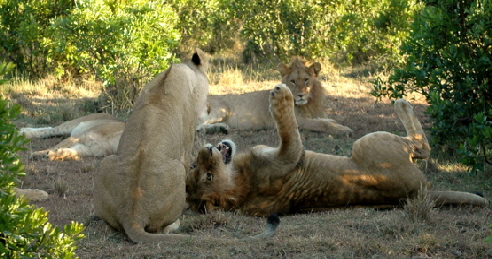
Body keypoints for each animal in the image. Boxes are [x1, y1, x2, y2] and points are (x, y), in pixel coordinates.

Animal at [187, 84, 488, 216]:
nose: (206, 151)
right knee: (422, 146)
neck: (242, 181)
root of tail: (420, 191)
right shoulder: (290, 154)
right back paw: (402, 103)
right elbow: (288, 127)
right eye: (207, 176)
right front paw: (281, 97)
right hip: (370, 142)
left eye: (195, 168)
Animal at [197, 57, 354, 136]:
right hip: (223, 108)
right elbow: (321, 123)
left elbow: (324, 119)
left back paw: (222, 128)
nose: (300, 95)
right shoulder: (294, 120)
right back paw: (217, 128)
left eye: (306, 80)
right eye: (292, 81)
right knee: (197, 127)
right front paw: (343, 130)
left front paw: (336, 122)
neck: (308, 102)